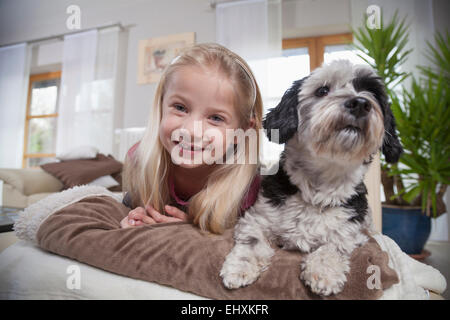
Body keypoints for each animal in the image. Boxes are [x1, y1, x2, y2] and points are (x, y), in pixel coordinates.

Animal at [220, 59, 402, 296]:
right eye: (322, 90)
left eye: (371, 93)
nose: (361, 103)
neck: (318, 188)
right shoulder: (256, 219)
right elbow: (251, 243)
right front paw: (239, 268)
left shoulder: (353, 234)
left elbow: (333, 245)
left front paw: (324, 272)